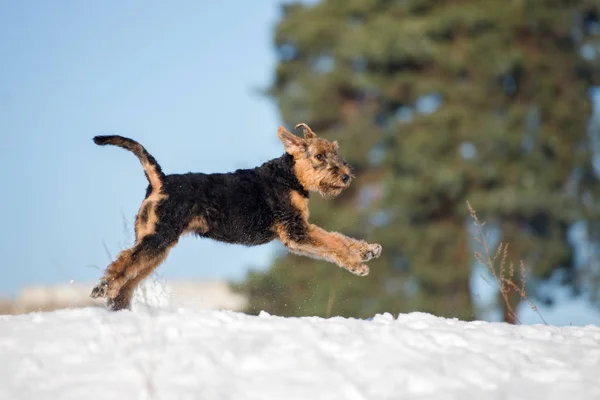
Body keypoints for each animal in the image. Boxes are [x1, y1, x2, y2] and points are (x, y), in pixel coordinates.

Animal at [91, 123, 382, 310]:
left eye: (335, 152)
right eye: (319, 156)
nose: (346, 176)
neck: (289, 176)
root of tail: (160, 180)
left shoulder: (298, 232)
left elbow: (336, 238)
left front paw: (366, 249)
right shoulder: (295, 231)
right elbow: (331, 243)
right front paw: (357, 264)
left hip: (157, 244)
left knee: (132, 273)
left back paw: (118, 304)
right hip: (158, 237)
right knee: (124, 262)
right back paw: (103, 288)